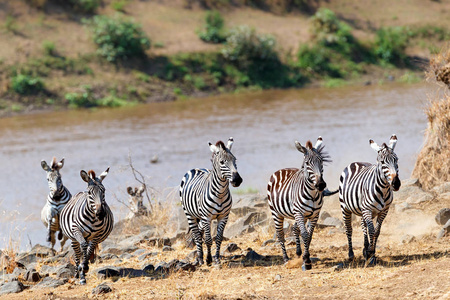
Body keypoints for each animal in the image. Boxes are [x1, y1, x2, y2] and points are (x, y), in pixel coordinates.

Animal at [179, 137, 243, 266]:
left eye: (235, 160)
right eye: (222, 162)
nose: (237, 180)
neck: (220, 193)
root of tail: (195, 168)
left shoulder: (224, 216)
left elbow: (218, 238)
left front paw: (217, 259)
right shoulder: (206, 217)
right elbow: (208, 240)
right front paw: (208, 259)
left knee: (199, 231)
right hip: (189, 214)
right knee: (197, 235)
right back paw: (200, 258)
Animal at [268, 137, 338, 270]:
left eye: (321, 161)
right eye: (307, 163)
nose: (321, 184)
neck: (312, 194)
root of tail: (281, 170)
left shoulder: (315, 214)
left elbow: (309, 235)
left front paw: (305, 256)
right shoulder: (299, 212)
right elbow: (305, 235)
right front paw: (307, 261)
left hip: (302, 215)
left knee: (295, 228)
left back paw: (298, 252)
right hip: (277, 213)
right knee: (280, 234)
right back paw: (286, 259)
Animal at [338, 134, 400, 264]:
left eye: (396, 160)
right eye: (382, 162)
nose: (396, 183)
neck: (383, 190)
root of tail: (356, 162)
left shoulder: (384, 211)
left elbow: (376, 231)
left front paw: (372, 253)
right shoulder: (367, 210)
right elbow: (371, 230)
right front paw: (371, 253)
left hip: (363, 211)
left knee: (363, 226)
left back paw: (365, 249)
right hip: (345, 208)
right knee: (349, 229)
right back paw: (351, 255)